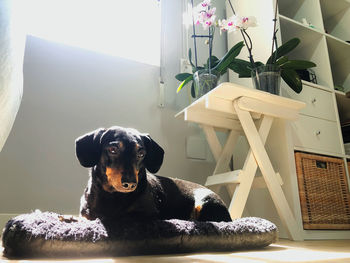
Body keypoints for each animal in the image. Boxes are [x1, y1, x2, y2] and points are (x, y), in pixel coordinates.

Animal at [75, 126, 231, 223]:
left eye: (141, 153)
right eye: (113, 149)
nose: (130, 184)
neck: (113, 196)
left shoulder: (148, 215)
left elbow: (122, 217)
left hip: (204, 204)